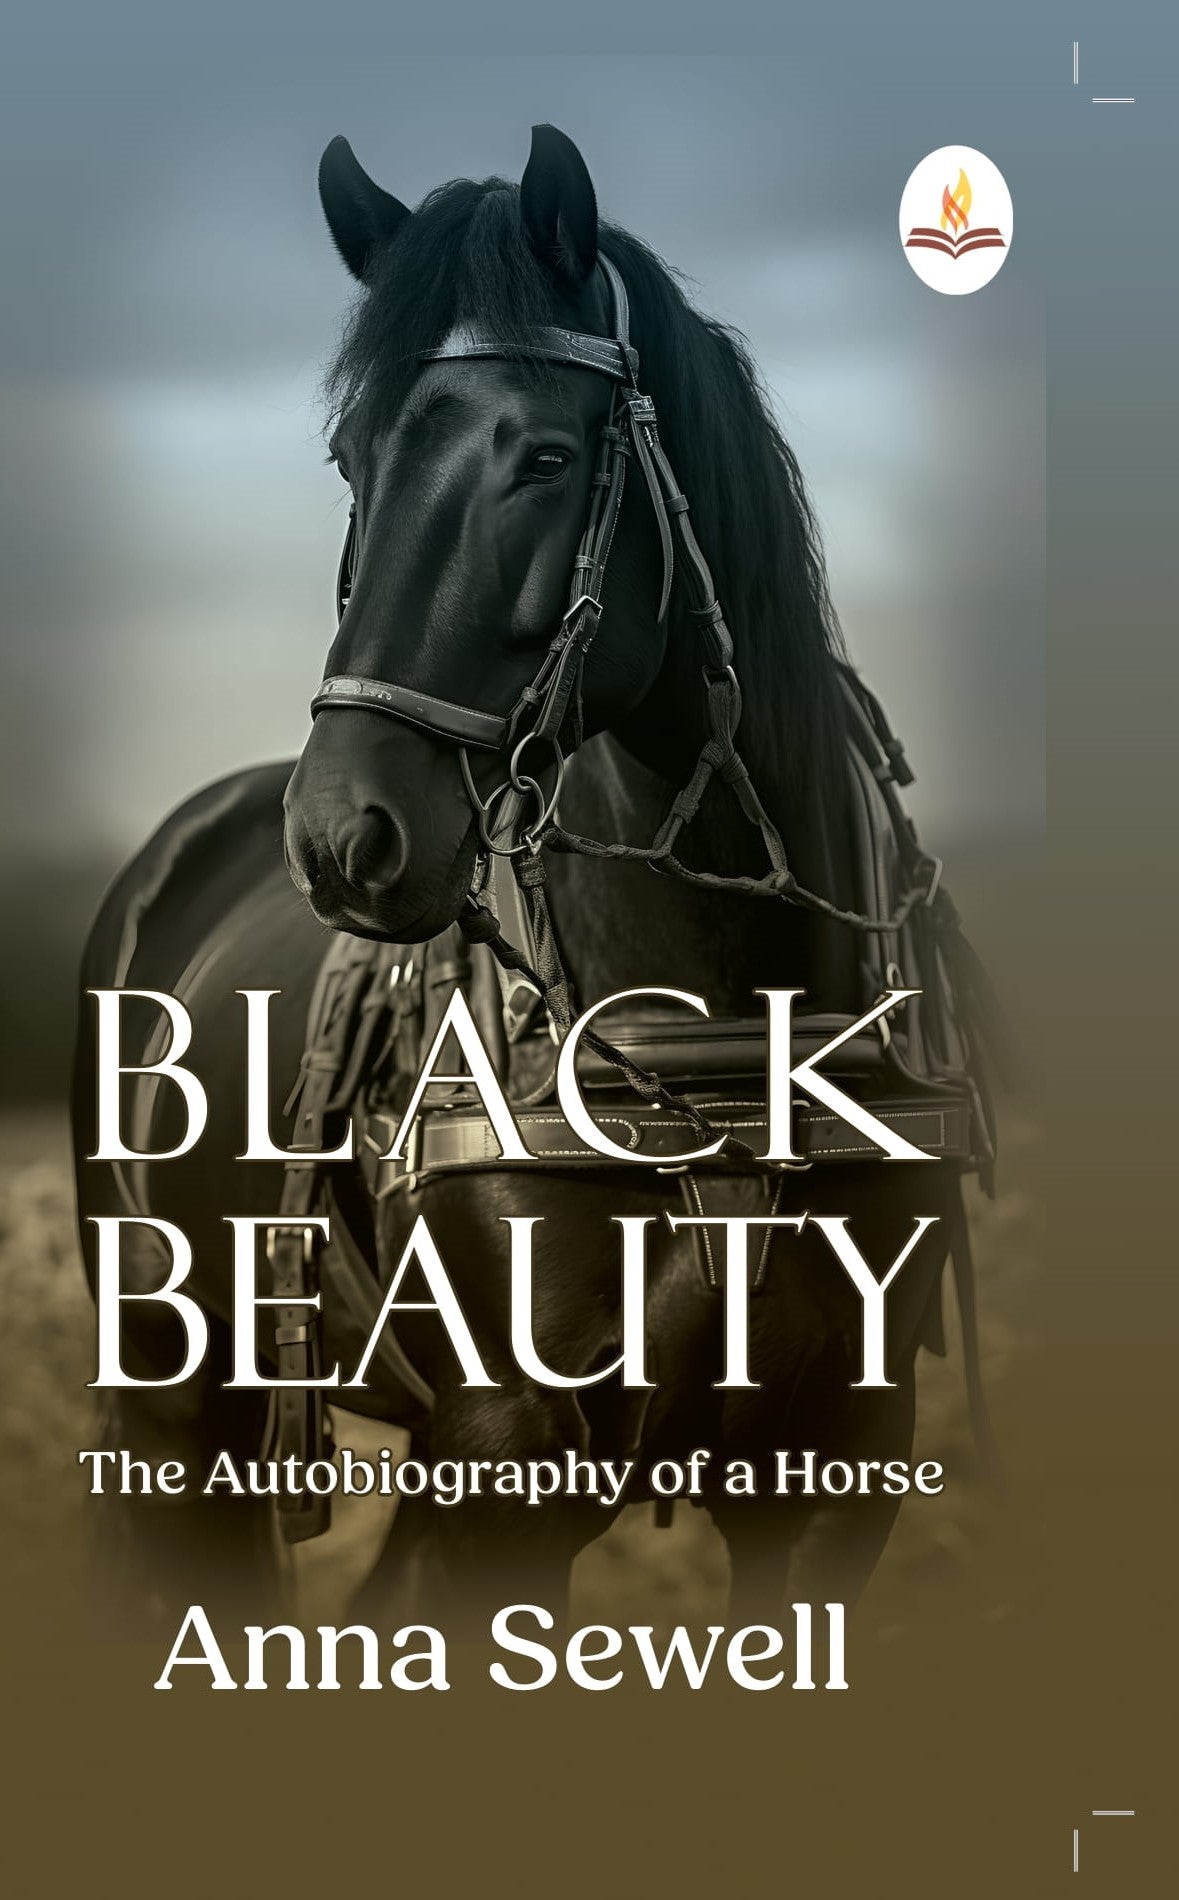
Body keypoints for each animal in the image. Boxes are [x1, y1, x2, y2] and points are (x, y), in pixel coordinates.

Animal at [73, 125, 993, 1634]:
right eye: (353, 457)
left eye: (546, 456)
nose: (343, 835)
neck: (712, 1027)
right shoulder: (506, 1455)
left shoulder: (834, 1459)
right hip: (167, 1390)